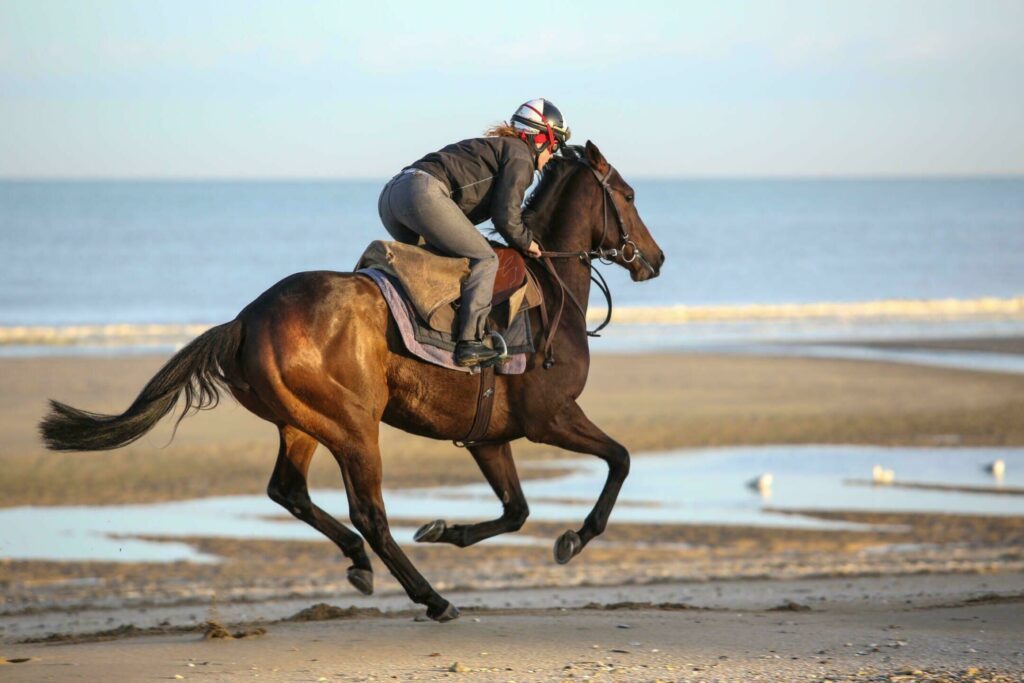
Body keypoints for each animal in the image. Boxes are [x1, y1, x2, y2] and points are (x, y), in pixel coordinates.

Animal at [37, 141, 663, 622]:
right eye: (630, 195)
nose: (655, 259)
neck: (549, 287)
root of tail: (246, 318)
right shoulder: (549, 417)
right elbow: (620, 459)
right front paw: (574, 537)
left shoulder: (487, 436)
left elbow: (517, 511)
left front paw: (444, 529)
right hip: (354, 425)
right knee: (370, 513)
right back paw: (432, 598)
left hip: (301, 422)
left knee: (288, 491)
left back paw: (360, 562)